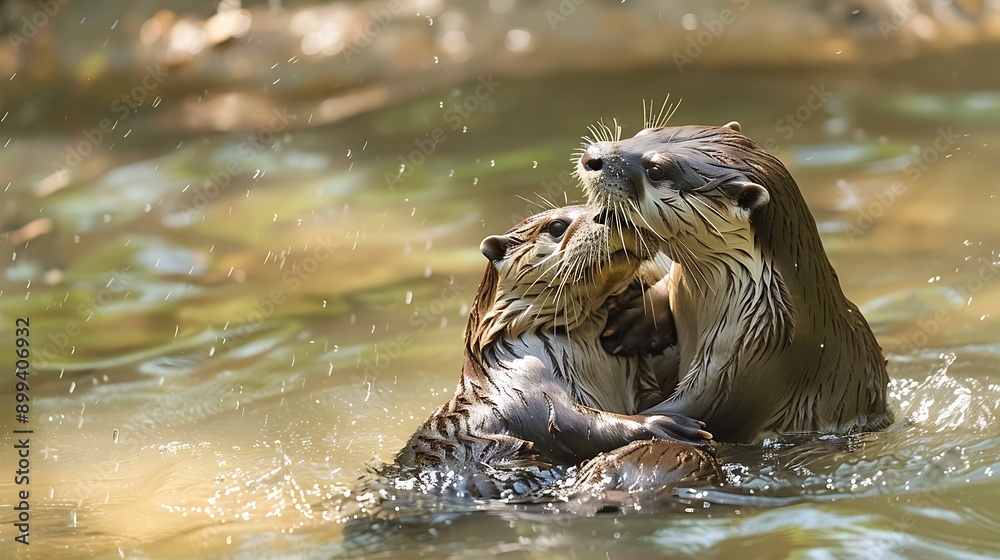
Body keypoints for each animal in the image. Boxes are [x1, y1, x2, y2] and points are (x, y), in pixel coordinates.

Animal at [575, 121, 893, 443]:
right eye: (644, 132)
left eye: (656, 170)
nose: (591, 156)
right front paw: (633, 322)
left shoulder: (752, 358)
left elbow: (703, 406)